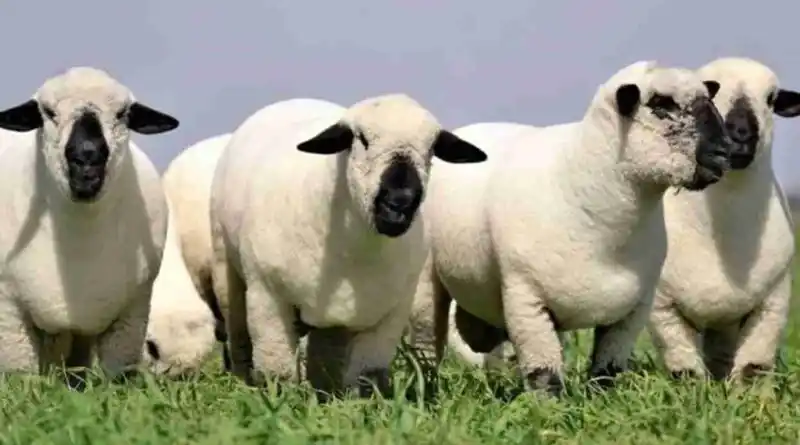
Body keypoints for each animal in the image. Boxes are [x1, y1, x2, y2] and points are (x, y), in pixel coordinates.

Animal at [209, 95, 488, 398]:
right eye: (361, 139)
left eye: (432, 148)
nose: (400, 202)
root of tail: (296, 100)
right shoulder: (268, 298)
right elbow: (278, 372)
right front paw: (282, 403)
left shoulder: (390, 313)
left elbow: (368, 377)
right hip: (227, 271)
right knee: (238, 335)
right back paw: (242, 381)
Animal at [418, 61, 732, 396]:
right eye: (661, 105)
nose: (723, 152)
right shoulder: (526, 298)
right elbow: (544, 375)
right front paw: (548, 407)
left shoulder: (633, 310)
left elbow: (606, 371)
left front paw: (601, 398)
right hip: (427, 283)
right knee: (427, 343)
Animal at [649, 57, 800, 382]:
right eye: (710, 93)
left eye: (771, 98)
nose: (740, 133)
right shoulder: (662, 306)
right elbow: (685, 369)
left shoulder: (773, 301)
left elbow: (753, 368)